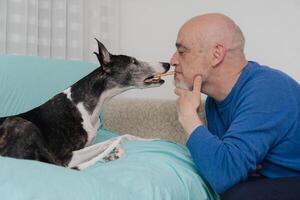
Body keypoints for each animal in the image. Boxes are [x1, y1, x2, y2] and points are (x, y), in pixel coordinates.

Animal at [0, 38, 169, 169]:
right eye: (133, 61)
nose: (167, 64)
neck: (86, 104)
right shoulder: (65, 154)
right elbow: (115, 139)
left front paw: (114, 154)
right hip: (22, 124)